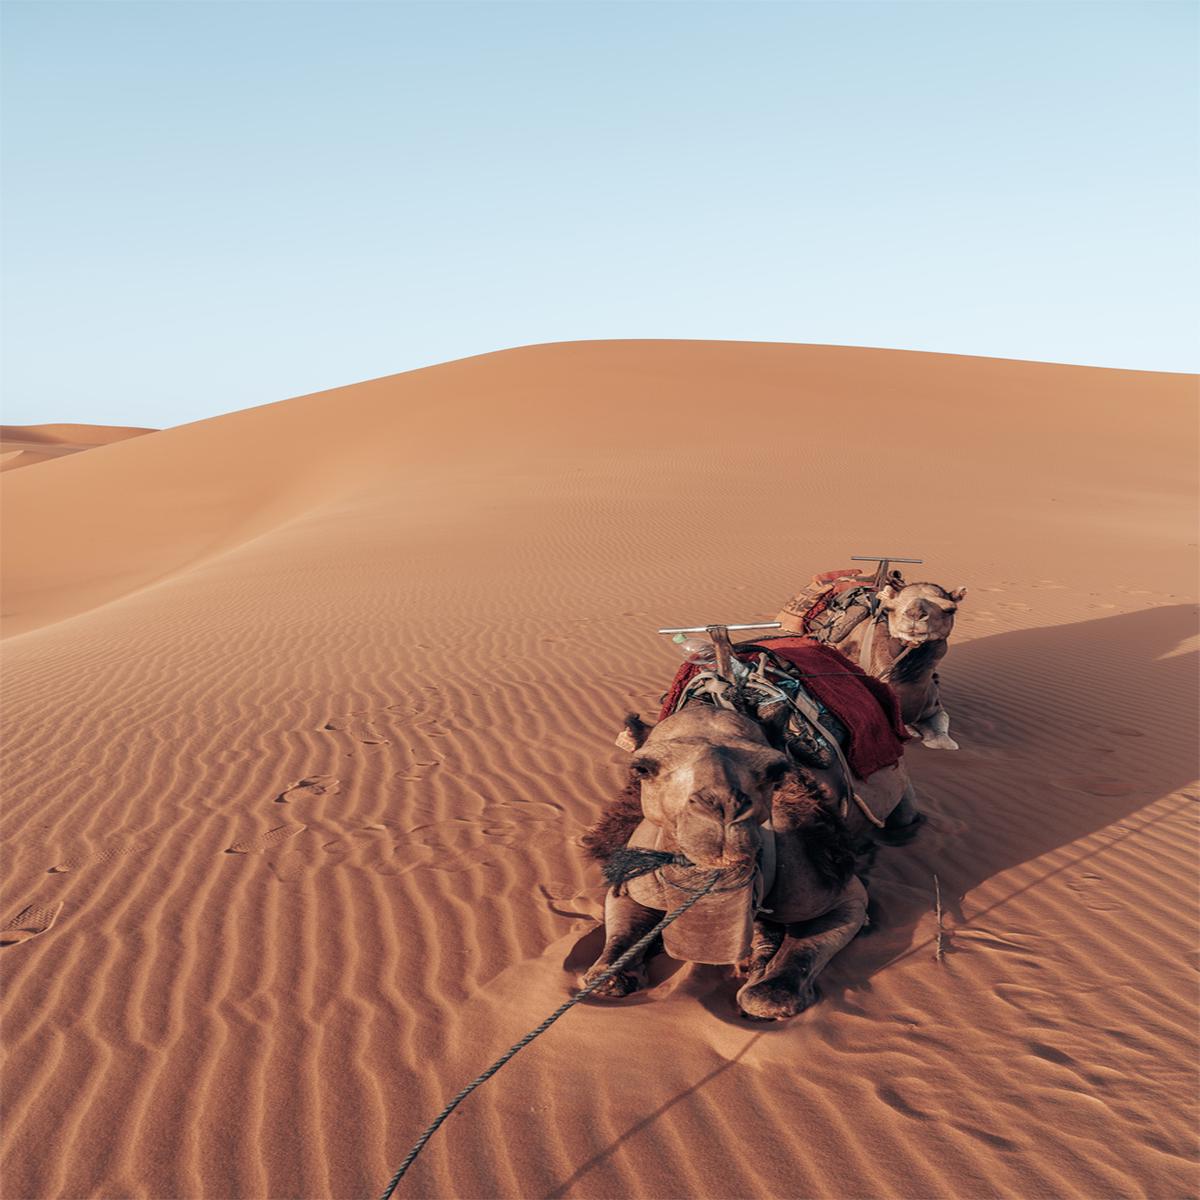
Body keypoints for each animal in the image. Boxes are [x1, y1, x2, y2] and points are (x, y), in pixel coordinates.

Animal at [580, 692, 918, 1020]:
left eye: (775, 770)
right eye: (642, 769)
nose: (722, 808)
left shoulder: (835, 889)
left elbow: (779, 981)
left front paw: (763, 982)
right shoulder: (634, 876)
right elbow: (617, 945)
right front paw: (615, 974)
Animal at [777, 574, 967, 750]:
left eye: (951, 609)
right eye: (890, 608)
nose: (914, 614)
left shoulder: (934, 706)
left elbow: (944, 739)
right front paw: (913, 731)